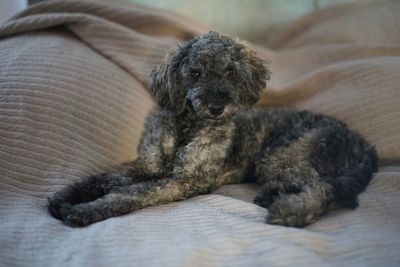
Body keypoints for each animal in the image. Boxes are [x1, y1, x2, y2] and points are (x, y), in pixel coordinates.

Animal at [47, 31, 378, 228]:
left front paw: (85, 210)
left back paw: (288, 210)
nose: (216, 106)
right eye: (195, 73)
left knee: (323, 189)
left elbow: (131, 193)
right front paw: (68, 195)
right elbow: (107, 177)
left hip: (282, 155)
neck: (187, 127)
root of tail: (364, 144)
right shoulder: (147, 167)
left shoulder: (185, 181)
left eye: (230, 72)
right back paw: (271, 195)